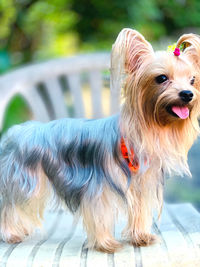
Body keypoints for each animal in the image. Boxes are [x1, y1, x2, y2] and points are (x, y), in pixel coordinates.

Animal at [0, 28, 200, 254]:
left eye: (192, 80)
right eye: (162, 78)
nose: (187, 94)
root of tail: (16, 131)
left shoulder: (141, 184)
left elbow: (140, 211)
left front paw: (140, 236)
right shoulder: (98, 187)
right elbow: (100, 214)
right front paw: (106, 244)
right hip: (24, 179)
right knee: (11, 205)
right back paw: (11, 233)